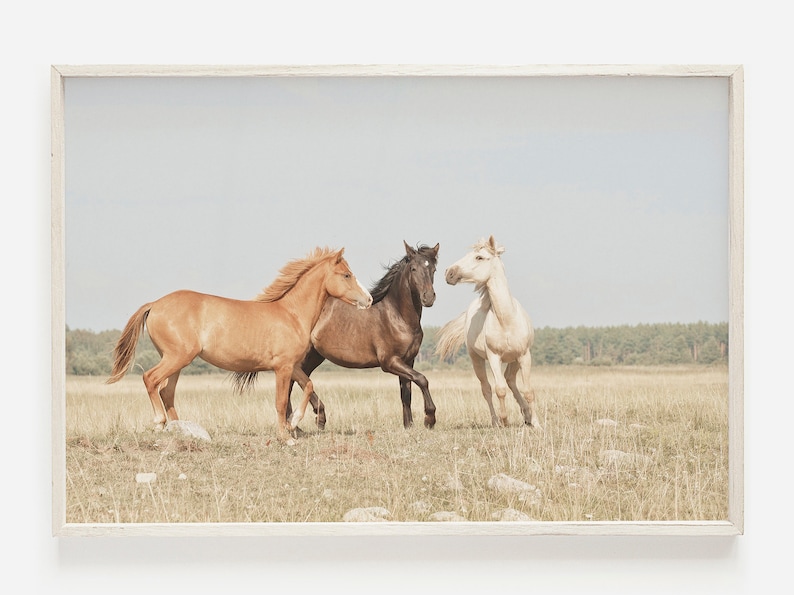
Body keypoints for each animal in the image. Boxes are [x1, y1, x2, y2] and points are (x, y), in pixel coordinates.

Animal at [106, 247, 373, 443]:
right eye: (346, 275)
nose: (369, 299)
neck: (291, 314)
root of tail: (155, 304)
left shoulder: (292, 366)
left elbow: (308, 386)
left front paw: (295, 422)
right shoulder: (282, 368)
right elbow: (280, 402)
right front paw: (285, 436)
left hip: (177, 361)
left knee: (166, 391)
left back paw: (181, 429)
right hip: (176, 357)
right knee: (151, 379)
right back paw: (160, 423)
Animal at [236, 241, 440, 430]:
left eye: (433, 269)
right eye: (413, 268)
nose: (428, 298)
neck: (397, 316)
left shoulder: (408, 360)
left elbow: (406, 393)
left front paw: (409, 425)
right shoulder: (389, 361)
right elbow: (422, 379)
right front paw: (429, 419)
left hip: (313, 357)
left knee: (294, 383)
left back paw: (298, 424)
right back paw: (314, 419)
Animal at [435, 236, 540, 428]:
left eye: (479, 257)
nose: (449, 272)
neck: (506, 320)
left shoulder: (524, 356)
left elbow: (528, 390)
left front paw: (536, 423)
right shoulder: (493, 357)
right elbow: (499, 389)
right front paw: (504, 421)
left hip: (514, 360)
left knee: (510, 380)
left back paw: (527, 415)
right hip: (476, 359)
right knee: (487, 389)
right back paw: (496, 421)